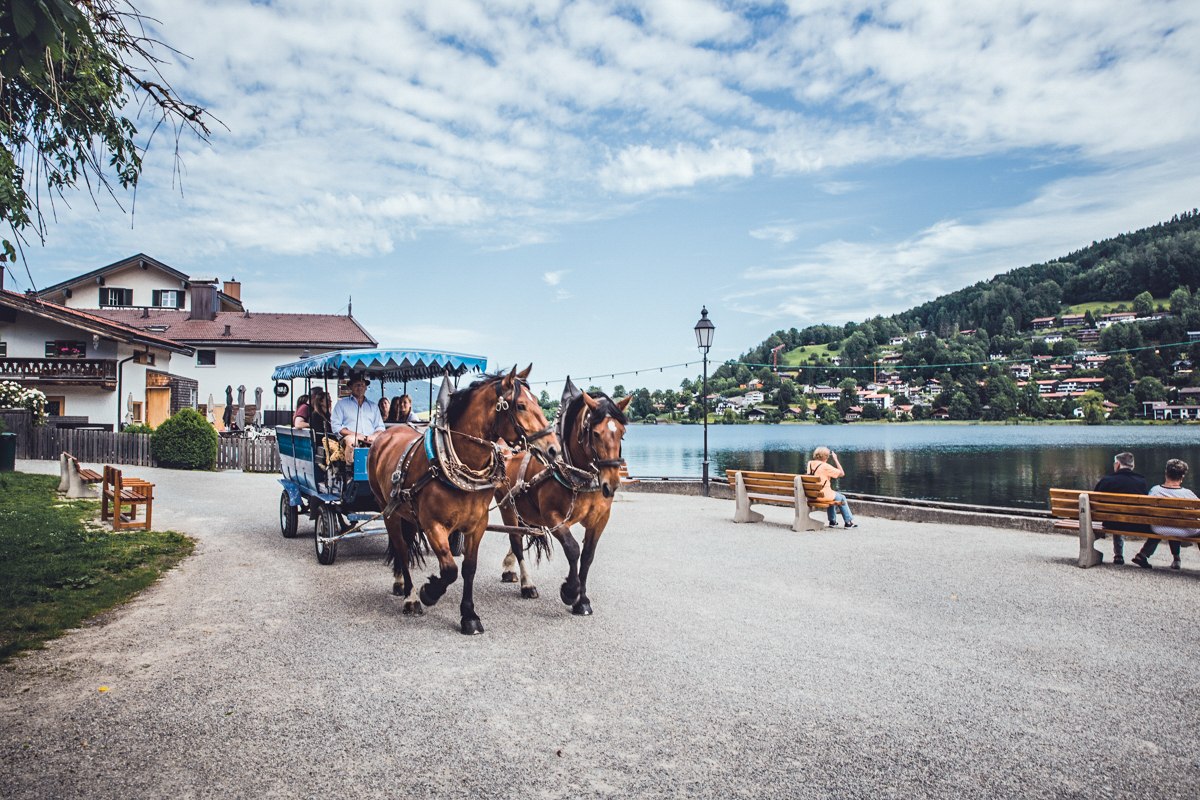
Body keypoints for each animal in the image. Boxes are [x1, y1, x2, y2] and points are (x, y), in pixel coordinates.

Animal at [364, 367, 556, 633]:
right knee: (401, 549)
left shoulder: (477, 524)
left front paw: (469, 615)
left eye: (537, 401)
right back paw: (411, 597)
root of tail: (387, 433)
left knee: (406, 544)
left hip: (407, 513)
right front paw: (429, 592)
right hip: (388, 510)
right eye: (520, 406)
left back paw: (401, 583)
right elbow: (449, 569)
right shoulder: (433, 525)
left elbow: (468, 568)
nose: (553, 448)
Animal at [494, 381, 628, 614]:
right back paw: (527, 583)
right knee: (516, 540)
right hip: (507, 507)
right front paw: (570, 591)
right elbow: (573, 549)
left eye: (622, 433)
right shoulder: (552, 516)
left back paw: (510, 568)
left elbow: (588, 555)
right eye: (595, 433)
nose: (611, 484)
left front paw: (583, 601)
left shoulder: (601, 518)